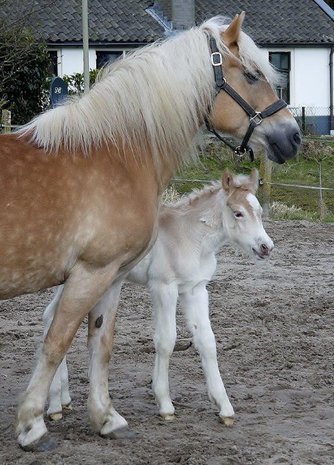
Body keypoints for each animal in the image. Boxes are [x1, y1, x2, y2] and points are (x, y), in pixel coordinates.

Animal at [44, 169, 272, 426]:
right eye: (238, 213)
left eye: (260, 212)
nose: (266, 247)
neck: (189, 237)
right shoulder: (164, 288)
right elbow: (166, 340)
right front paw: (165, 404)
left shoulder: (196, 290)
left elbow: (207, 341)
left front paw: (224, 407)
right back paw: (54, 404)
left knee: (52, 318)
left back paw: (62, 399)